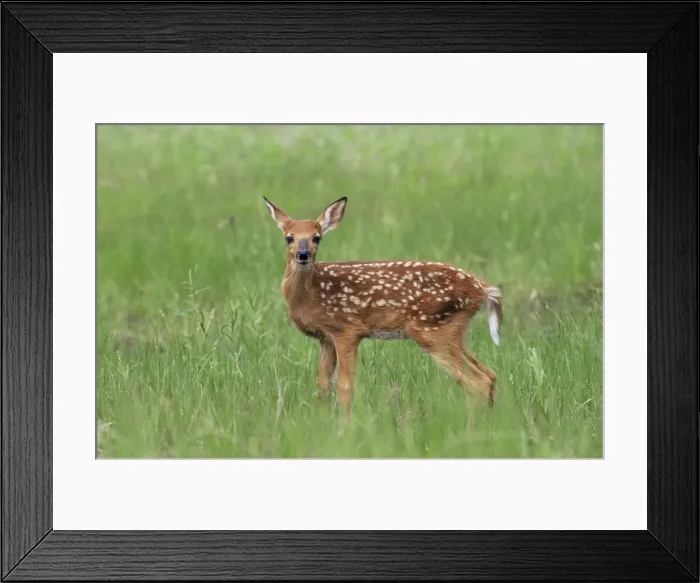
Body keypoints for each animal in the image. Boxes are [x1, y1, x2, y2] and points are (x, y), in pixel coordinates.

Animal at [263, 195, 502, 417]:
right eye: (289, 238)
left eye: (317, 238)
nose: (303, 255)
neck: (311, 294)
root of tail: (482, 288)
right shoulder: (326, 339)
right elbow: (322, 386)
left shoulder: (347, 330)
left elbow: (345, 388)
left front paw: (343, 427)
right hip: (453, 330)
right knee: (490, 374)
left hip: (431, 329)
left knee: (478, 382)